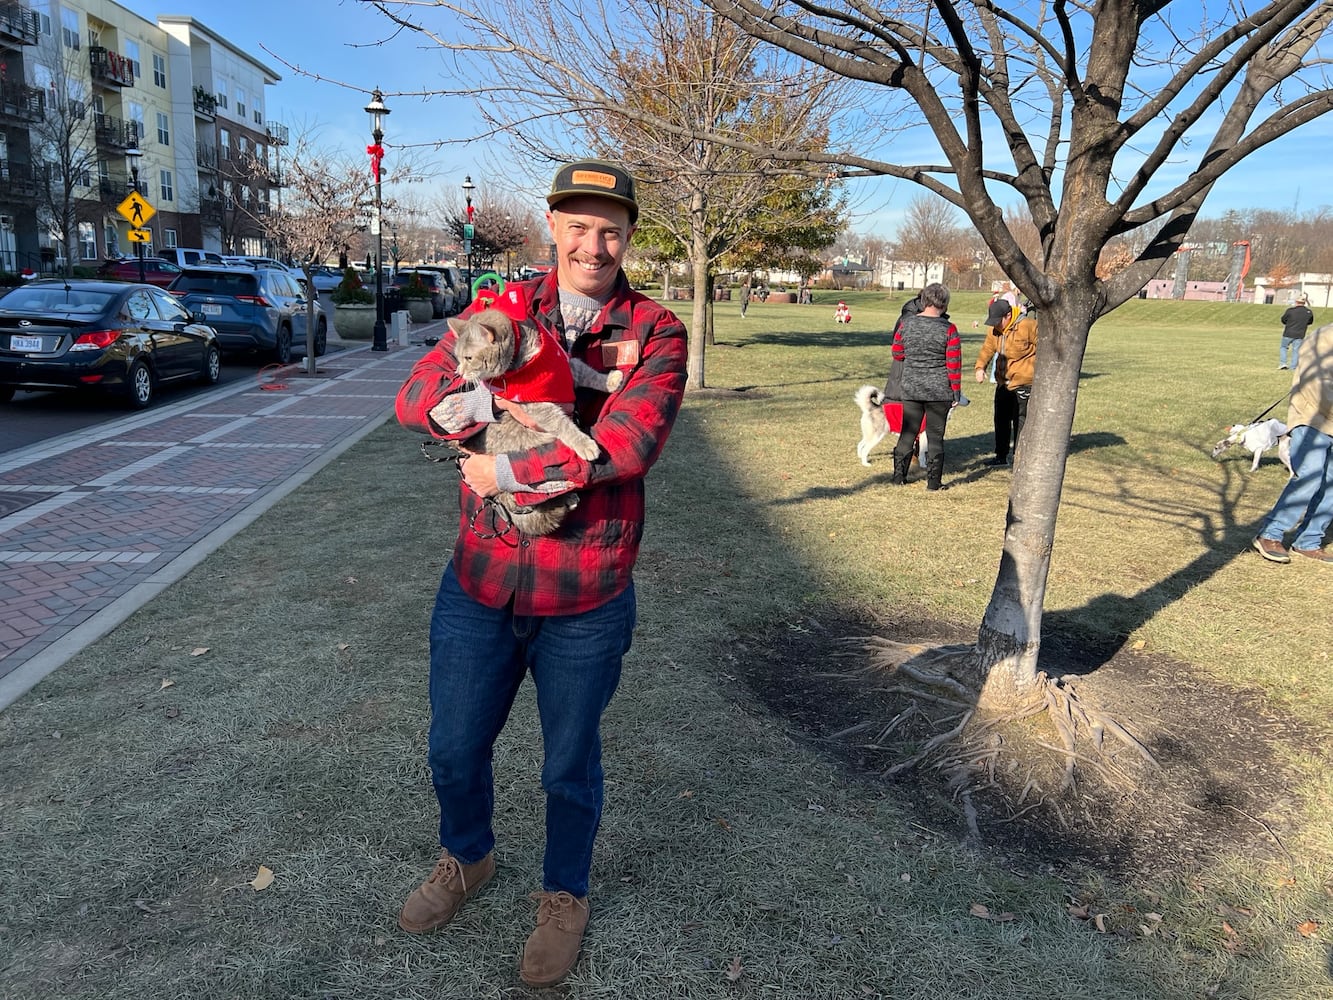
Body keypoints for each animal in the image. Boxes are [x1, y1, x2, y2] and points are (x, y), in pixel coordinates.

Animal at [434, 308, 626, 536]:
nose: (459, 372)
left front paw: (611, 380)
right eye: (458, 358)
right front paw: (585, 444)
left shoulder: (569, 367)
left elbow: (589, 373)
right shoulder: (536, 405)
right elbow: (563, 425)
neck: (528, 356)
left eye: (468, 357)